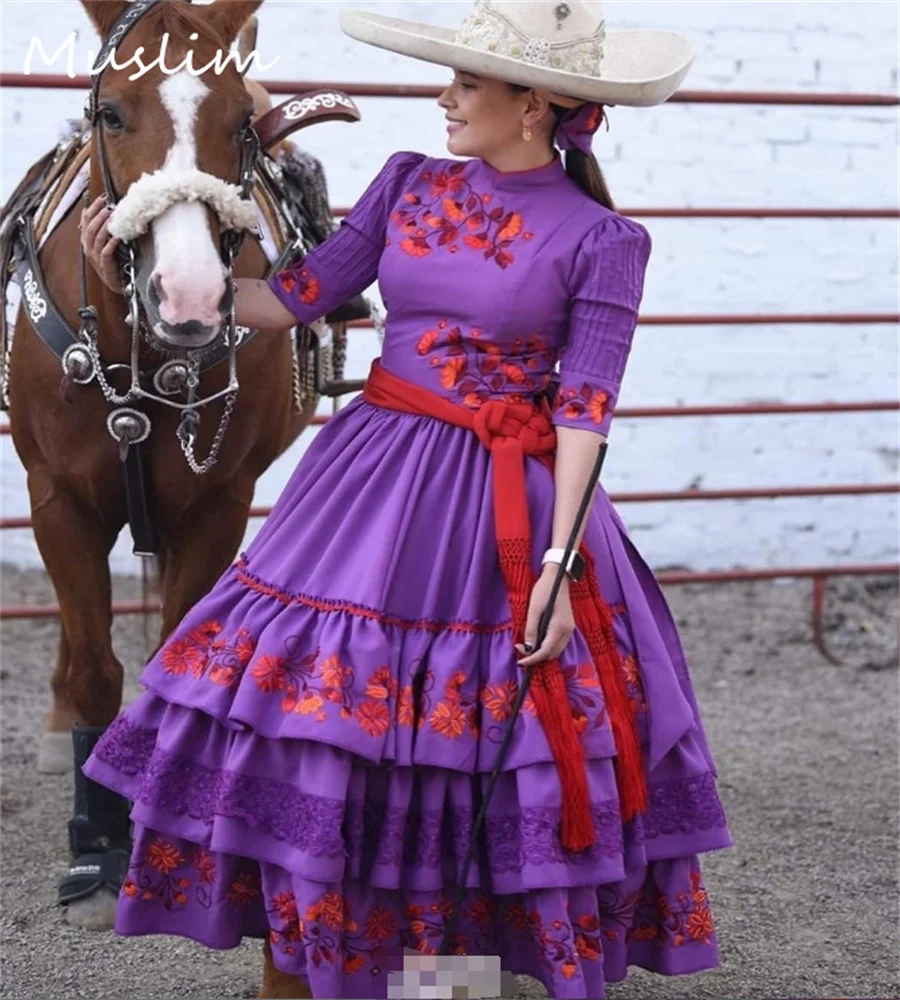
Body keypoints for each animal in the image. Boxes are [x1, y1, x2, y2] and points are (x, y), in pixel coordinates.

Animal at [2, 0, 320, 932]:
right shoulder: (56, 502)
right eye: (111, 113)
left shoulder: (217, 505)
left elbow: (164, 665)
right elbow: (94, 668)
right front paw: (93, 845)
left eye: (241, 123)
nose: (189, 297)